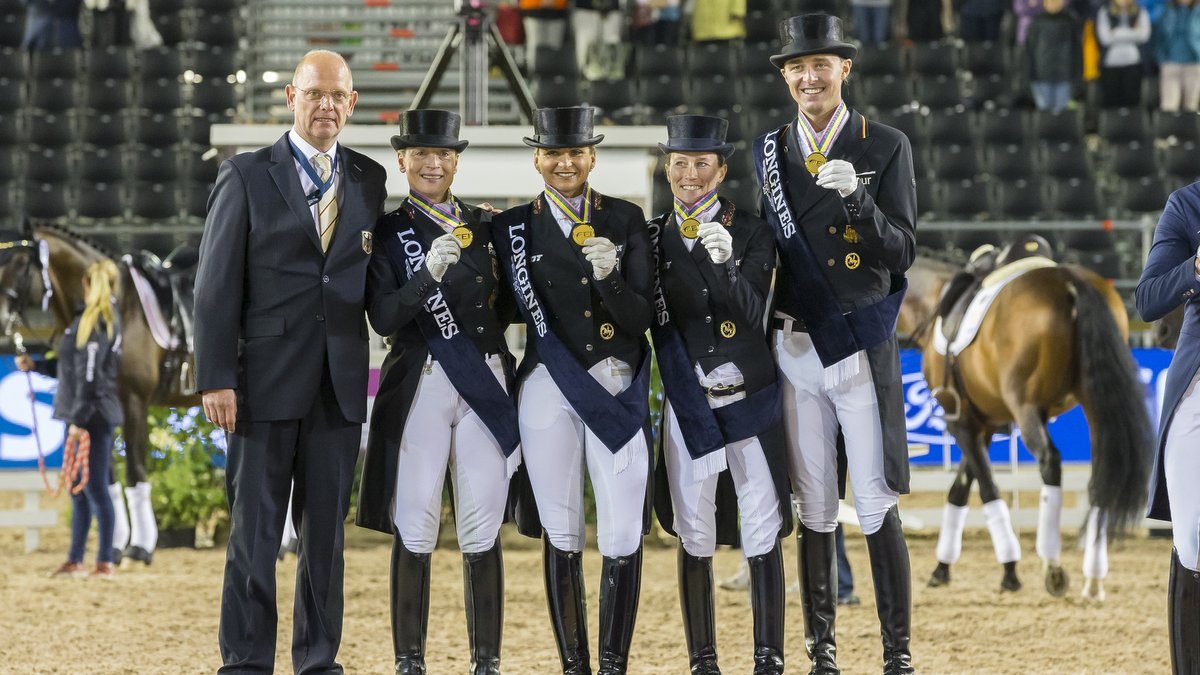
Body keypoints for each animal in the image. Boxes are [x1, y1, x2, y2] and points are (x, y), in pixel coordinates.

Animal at [0, 223, 199, 559]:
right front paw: (116, 546)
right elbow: (105, 476)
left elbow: (135, 471)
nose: (2, 319)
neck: (115, 308)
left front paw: (141, 547)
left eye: (22, 263)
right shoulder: (101, 410)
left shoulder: (134, 404)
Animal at [907, 252, 1152, 598]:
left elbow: (986, 488)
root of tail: (1068, 281)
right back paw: (1093, 576)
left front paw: (1010, 570)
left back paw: (1053, 565)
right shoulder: (986, 425)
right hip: (1094, 399)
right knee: (1102, 474)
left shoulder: (963, 422)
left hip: (1026, 410)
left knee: (1050, 462)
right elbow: (959, 490)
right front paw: (942, 568)